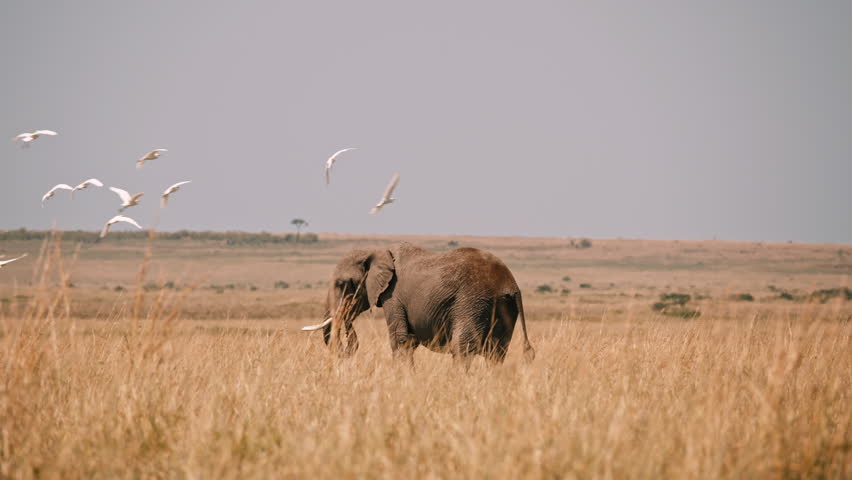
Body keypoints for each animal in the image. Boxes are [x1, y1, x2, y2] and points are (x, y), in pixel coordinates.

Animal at [301, 242, 534, 366]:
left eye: (342, 284)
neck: (377, 250)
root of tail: (510, 284)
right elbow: (409, 341)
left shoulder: (393, 296)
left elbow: (400, 340)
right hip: (503, 307)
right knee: (496, 353)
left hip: (472, 302)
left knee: (462, 349)